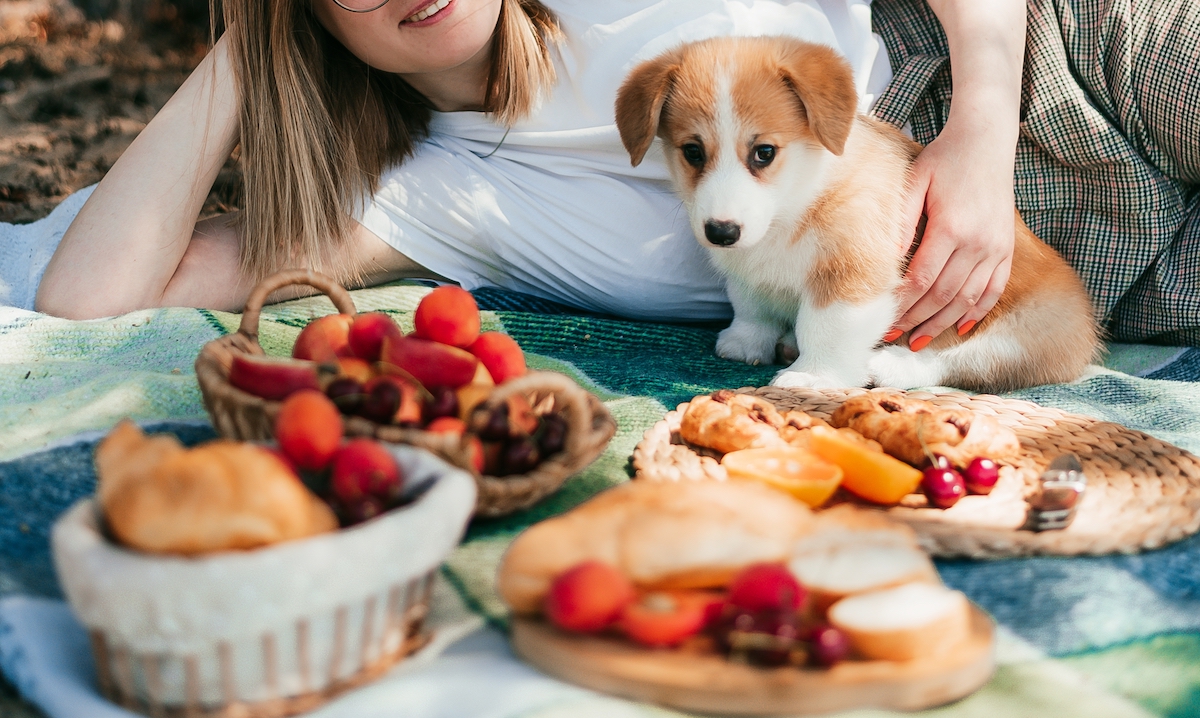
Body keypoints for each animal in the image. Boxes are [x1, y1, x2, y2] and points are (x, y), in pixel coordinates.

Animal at [619, 37, 1099, 393]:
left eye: (764, 152)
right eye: (693, 152)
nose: (721, 232)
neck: (796, 202)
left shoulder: (851, 277)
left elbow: (827, 329)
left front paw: (812, 378)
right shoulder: (748, 270)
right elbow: (751, 304)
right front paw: (745, 341)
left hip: (1016, 332)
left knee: (957, 363)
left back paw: (888, 366)